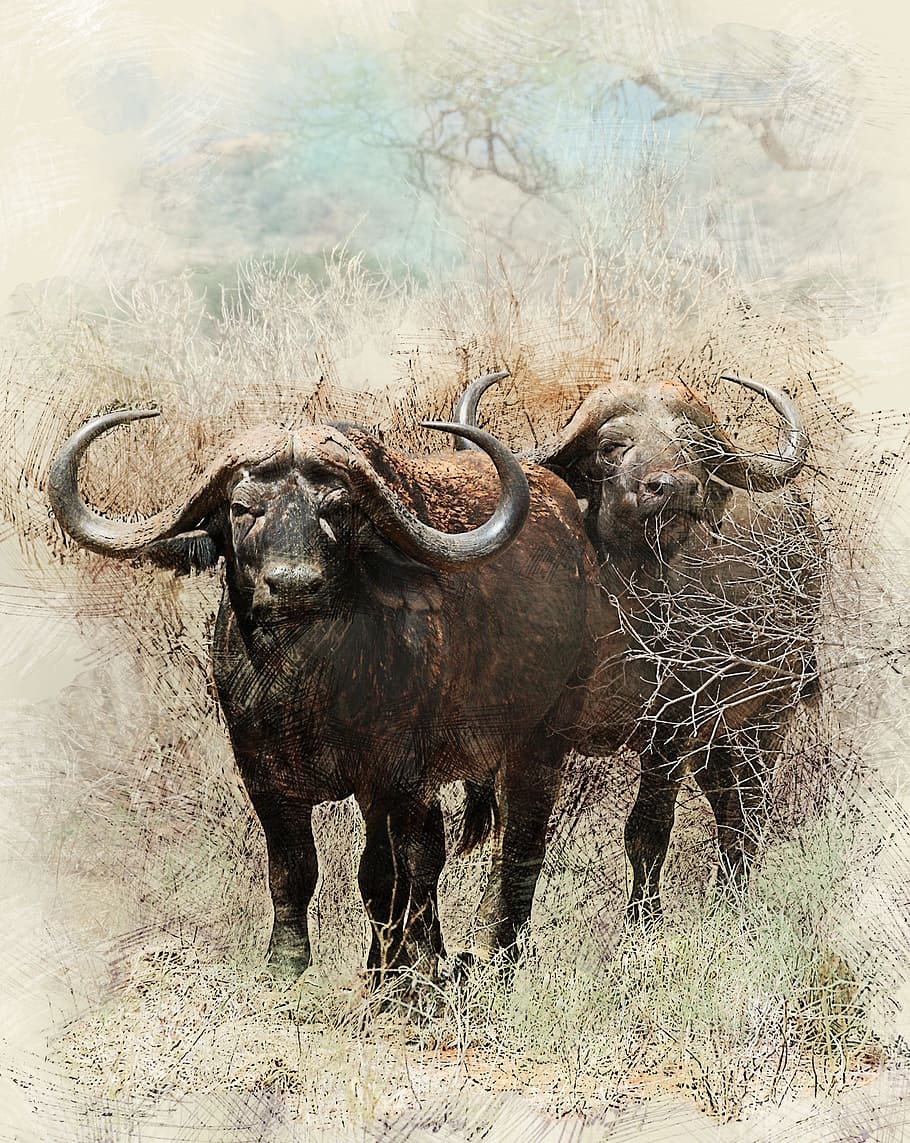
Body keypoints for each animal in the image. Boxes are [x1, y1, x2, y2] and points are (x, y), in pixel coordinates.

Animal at [48, 410, 604, 981]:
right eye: (242, 508)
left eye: (336, 509)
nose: (293, 585)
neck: (306, 686)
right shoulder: (263, 774)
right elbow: (294, 869)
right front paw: (288, 965)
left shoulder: (392, 776)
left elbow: (391, 872)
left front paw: (395, 971)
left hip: (539, 739)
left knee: (513, 841)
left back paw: (489, 952)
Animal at [454, 371, 823, 921]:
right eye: (611, 446)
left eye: (694, 446)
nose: (674, 488)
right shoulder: (536, 733)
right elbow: (516, 845)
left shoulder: (672, 728)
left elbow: (647, 831)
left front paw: (642, 921)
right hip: (718, 740)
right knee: (728, 804)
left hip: (768, 714)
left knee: (749, 809)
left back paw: (731, 905)